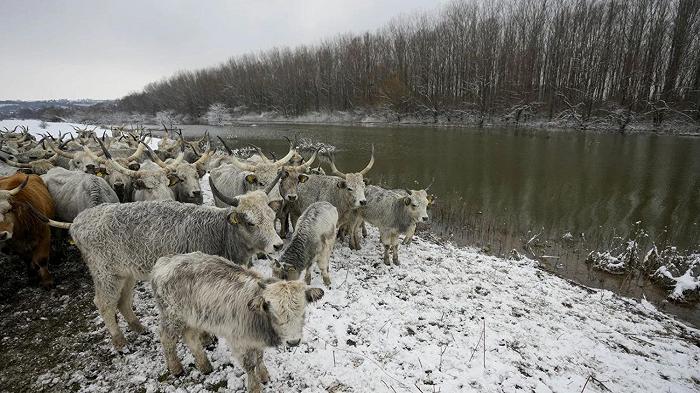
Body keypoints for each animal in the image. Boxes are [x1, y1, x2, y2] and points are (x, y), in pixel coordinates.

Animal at [44, 187, 282, 350]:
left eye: (272, 217)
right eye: (250, 223)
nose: (278, 245)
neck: (218, 232)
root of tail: (78, 221)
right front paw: (206, 339)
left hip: (126, 274)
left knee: (123, 301)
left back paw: (138, 327)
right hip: (105, 274)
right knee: (104, 304)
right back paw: (119, 340)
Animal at [153, 251, 322, 392]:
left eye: (303, 310)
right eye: (273, 311)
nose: (294, 342)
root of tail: (165, 261)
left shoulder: (255, 340)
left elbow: (259, 357)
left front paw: (264, 375)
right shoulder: (239, 341)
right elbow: (249, 364)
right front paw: (254, 387)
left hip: (191, 318)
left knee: (191, 337)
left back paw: (204, 365)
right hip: (172, 317)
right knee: (167, 339)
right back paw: (176, 368)